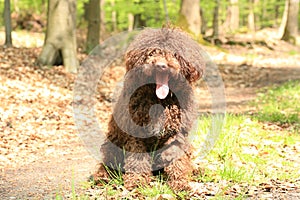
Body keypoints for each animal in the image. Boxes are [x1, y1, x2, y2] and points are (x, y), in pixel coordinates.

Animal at [95, 27, 206, 191]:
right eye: (153, 52)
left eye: (173, 53)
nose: (160, 65)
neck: (160, 100)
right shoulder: (136, 134)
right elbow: (138, 159)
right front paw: (137, 182)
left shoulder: (177, 134)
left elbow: (177, 159)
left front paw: (179, 183)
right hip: (112, 144)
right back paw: (102, 177)